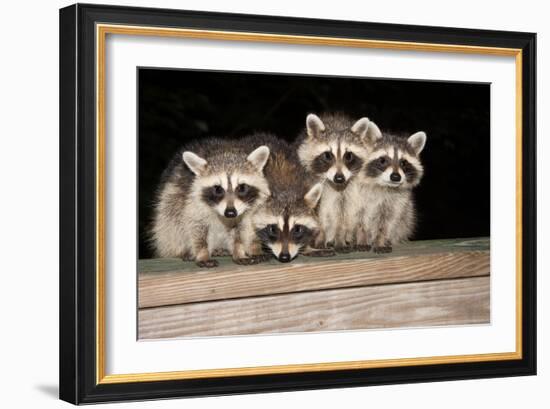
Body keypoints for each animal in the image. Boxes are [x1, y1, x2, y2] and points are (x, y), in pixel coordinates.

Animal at [151, 135, 272, 266]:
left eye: (242, 187)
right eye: (218, 189)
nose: (230, 212)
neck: (226, 152)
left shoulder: (246, 212)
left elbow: (242, 230)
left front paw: (239, 250)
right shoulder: (192, 203)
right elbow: (196, 227)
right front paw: (202, 253)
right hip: (169, 204)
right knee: (171, 225)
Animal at [248, 134, 334, 262]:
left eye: (298, 229)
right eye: (273, 229)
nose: (284, 257)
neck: (285, 188)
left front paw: (307, 246)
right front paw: (256, 248)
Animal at [298, 113, 380, 250]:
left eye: (348, 156)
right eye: (327, 155)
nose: (339, 178)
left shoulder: (350, 191)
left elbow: (343, 213)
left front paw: (340, 236)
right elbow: (318, 212)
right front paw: (320, 236)